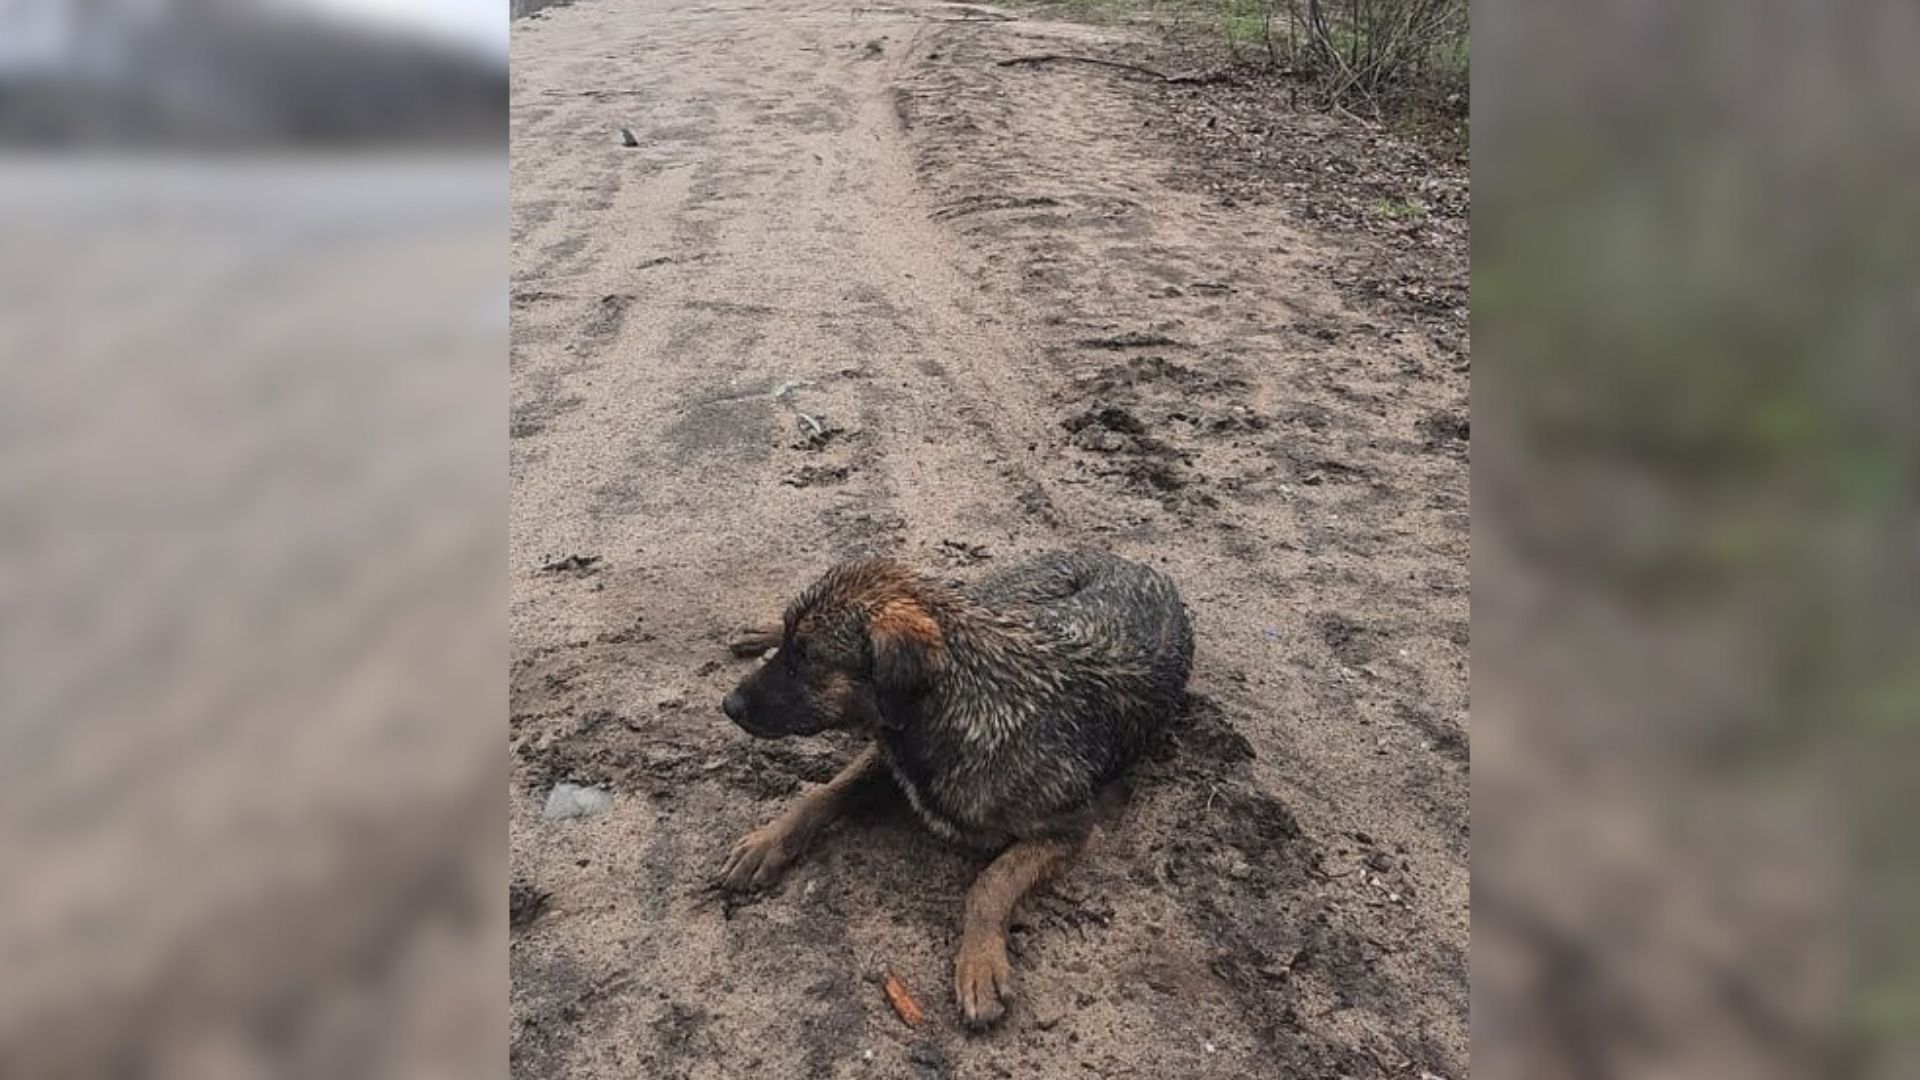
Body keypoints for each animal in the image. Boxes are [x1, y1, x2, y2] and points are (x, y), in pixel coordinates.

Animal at [721, 545, 1190, 1022]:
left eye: (806, 656)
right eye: (793, 648)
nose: (729, 704)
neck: (970, 700)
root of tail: (1125, 560)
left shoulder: (1071, 830)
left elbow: (991, 881)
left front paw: (980, 963)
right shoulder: (888, 758)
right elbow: (822, 793)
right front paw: (767, 841)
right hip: (1001, 597)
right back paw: (758, 631)